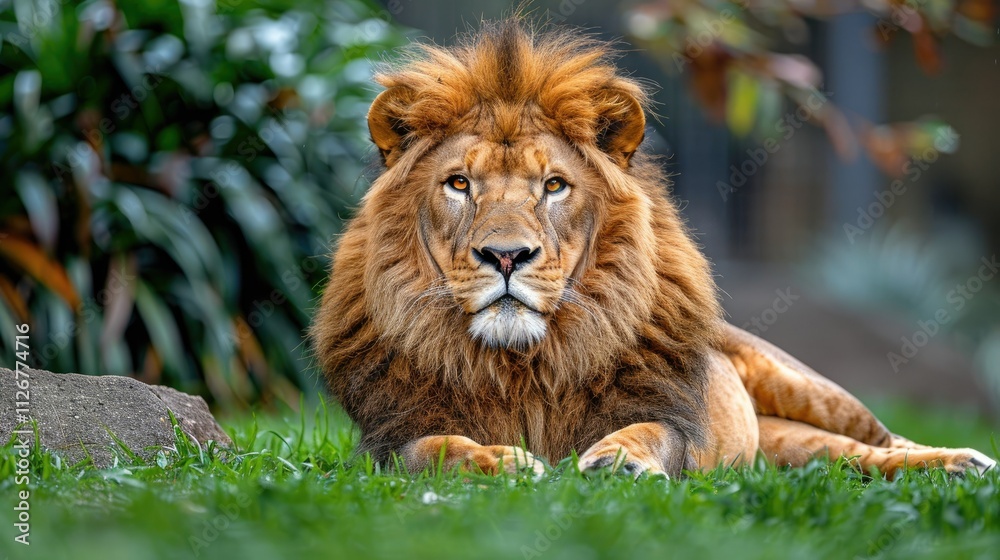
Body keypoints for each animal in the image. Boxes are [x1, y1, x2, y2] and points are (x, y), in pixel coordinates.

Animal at [311, 20, 996, 479]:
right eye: (459, 184)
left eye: (554, 185)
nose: (506, 257)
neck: (523, 365)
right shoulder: (391, 436)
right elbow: (435, 448)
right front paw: (504, 462)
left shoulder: (672, 420)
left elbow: (647, 431)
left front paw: (616, 459)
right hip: (788, 450)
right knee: (848, 459)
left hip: (809, 388)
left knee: (885, 438)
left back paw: (964, 460)